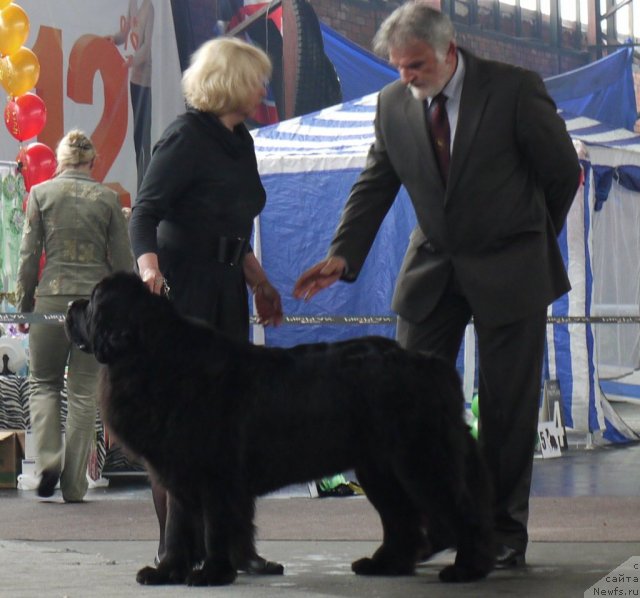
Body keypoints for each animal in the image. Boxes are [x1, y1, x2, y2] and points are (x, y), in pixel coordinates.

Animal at [65, 274, 496, 588]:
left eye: (93, 299)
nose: (70, 306)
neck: (151, 357)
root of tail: (431, 365)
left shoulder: (216, 475)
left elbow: (214, 526)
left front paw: (212, 573)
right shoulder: (178, 475)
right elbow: (176, 528)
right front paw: (167, 571)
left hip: (419, 461)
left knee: (462, 512)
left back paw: (467, 568)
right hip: (380, 469)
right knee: (401, 520)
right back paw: (384, 564)